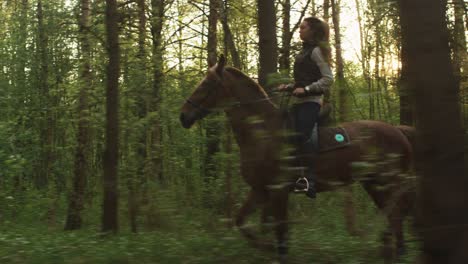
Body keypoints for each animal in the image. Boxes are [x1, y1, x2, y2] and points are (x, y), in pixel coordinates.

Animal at [179, 56, 414, 260]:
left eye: (207, 84)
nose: (183, 116)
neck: (263, 133)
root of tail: (398, 131)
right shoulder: (260, 190)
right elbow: (243, 222)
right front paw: (265, 247)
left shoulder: (279, 191)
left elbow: (280, 231)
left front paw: (274, 250)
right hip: (374, 184)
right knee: (394, 213)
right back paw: (391, 250)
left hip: (387, 181)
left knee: (396, 213)